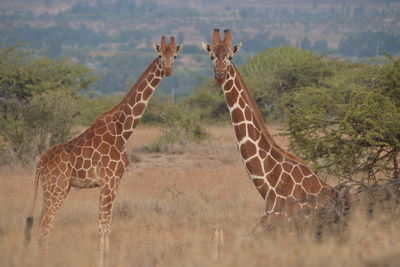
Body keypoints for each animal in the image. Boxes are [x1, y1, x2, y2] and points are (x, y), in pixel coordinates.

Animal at [23, 36, 183, 267]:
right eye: (161, 54)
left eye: (175, 55)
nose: (168, 69)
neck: (123, 130)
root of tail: (39, 164)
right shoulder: (107, 181)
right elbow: (101, 226)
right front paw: (101, 262)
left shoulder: (115, 182)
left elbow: (108, 225)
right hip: (56, 188)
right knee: (45, 224)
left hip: (58, 188)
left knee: (42, 223)